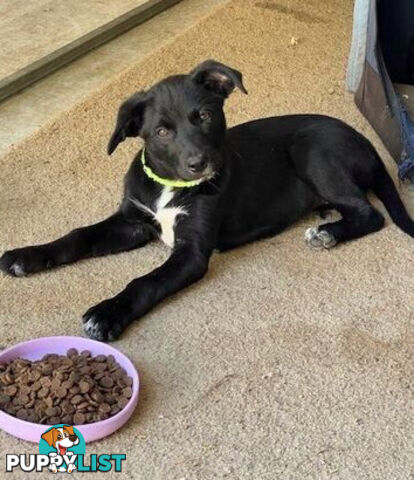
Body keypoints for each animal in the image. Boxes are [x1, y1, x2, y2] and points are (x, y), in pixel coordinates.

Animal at [0, 60, 414, 342]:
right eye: (162, 131)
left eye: (204, 116)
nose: (200, 164)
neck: (169, 186)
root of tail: (367, 143)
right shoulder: (133, 222)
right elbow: (78, 235)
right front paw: (26, 256)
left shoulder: (192, 252)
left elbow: (145, 281)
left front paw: (107, 313)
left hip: (311, 149)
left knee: (370, 214)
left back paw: (328, 233)